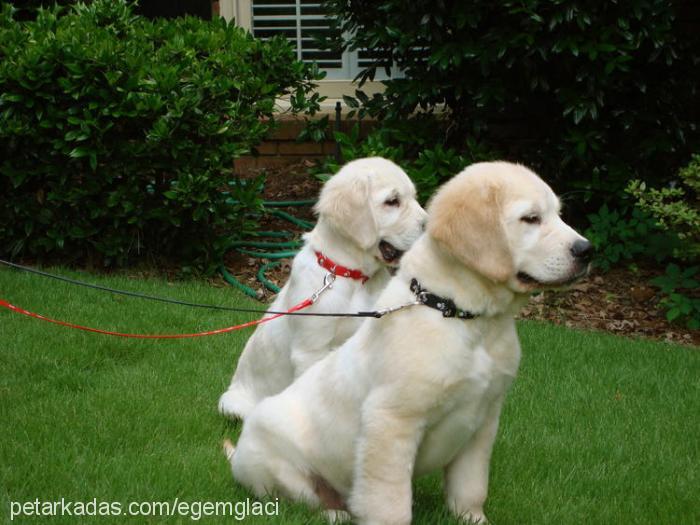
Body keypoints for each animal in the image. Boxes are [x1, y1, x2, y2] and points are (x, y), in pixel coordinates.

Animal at [219, 156, 426, 418]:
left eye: (413, 197)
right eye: (392, 201)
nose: (430, 225)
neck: (351, 276)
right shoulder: (311, 350)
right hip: (233, 404)